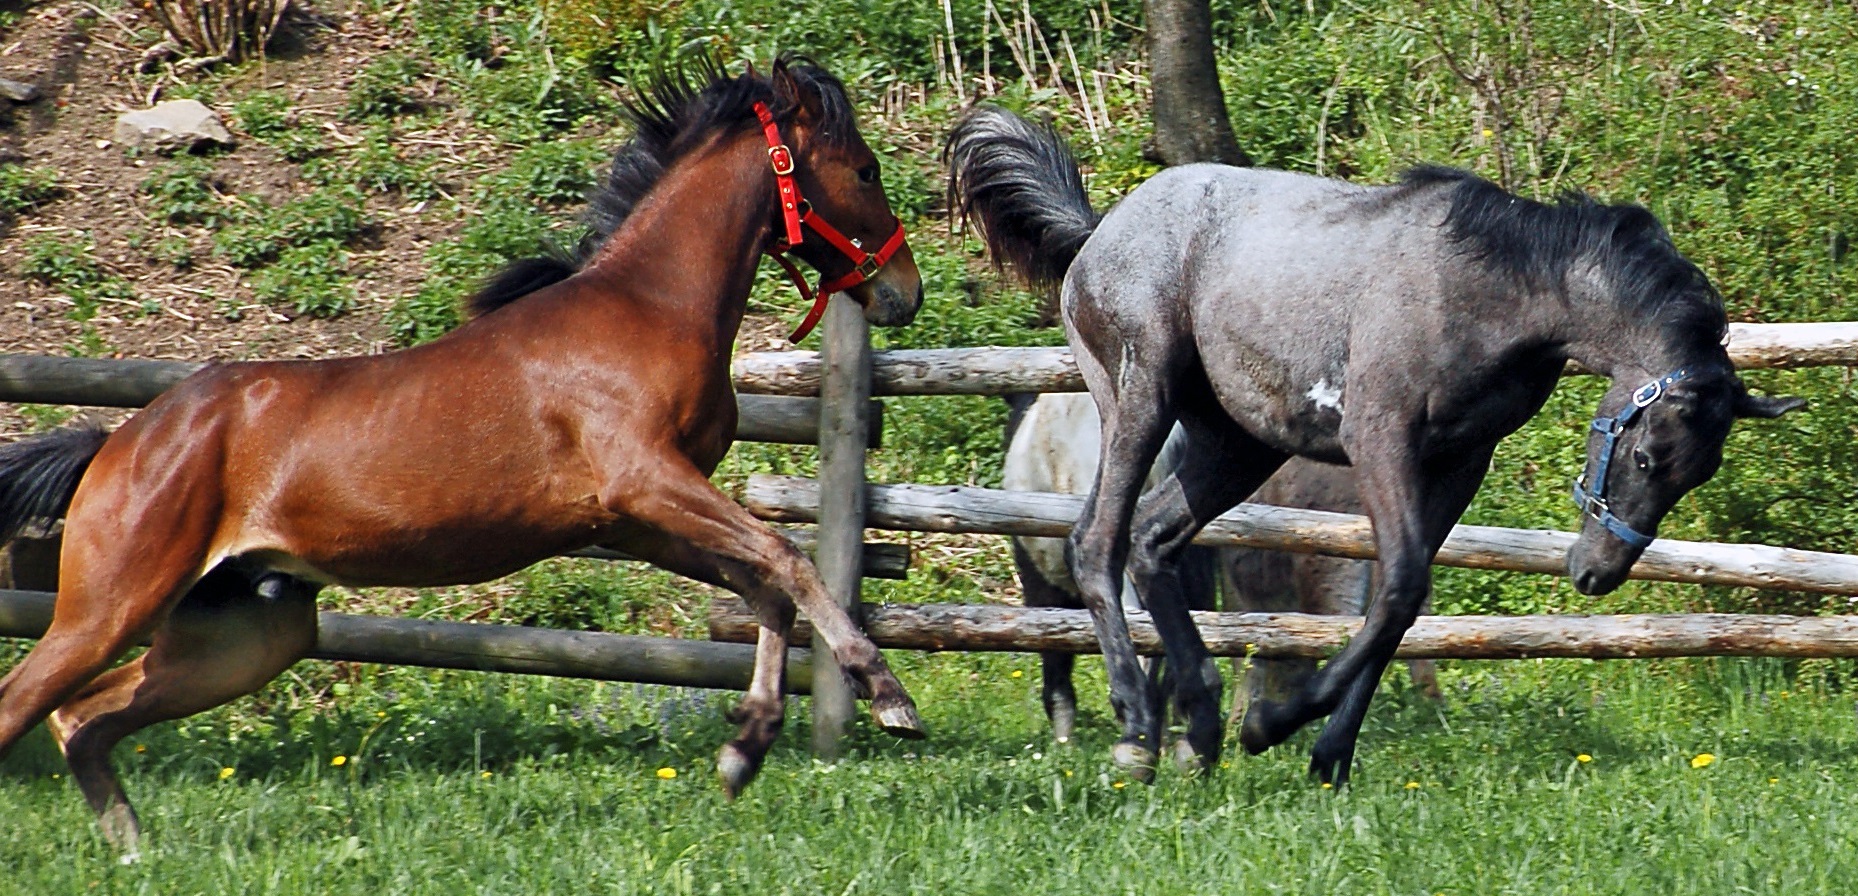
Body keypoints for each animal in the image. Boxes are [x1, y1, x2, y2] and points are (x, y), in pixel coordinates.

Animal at [0, 56, 925, 852]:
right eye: (866, 170)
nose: (903, 292)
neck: (650, 307)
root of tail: (119, 442)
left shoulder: (630, 521)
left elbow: (765, 585)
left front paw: (744, 751)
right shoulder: (648, 482)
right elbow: (788, 557)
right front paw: (887, 695)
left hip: (244, 636)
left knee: (82, 719)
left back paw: (132, 848)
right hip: (113, 606)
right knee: (29, 703)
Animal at [947, 106, 1801, 784]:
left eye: (1696, 475)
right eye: (1647, 458)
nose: (1597, 573)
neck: (1491, 288)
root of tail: (1098, 232)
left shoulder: (1459, 462)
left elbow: (1400, 606)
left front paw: (1329, 755)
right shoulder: (1379, 437)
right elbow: (1398, 586)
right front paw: (1277, 725)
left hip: (1237, 445)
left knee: (1154, 541)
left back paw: (1202, 726)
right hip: (1139, 400)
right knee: (1098, 541)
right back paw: (1138, 725)